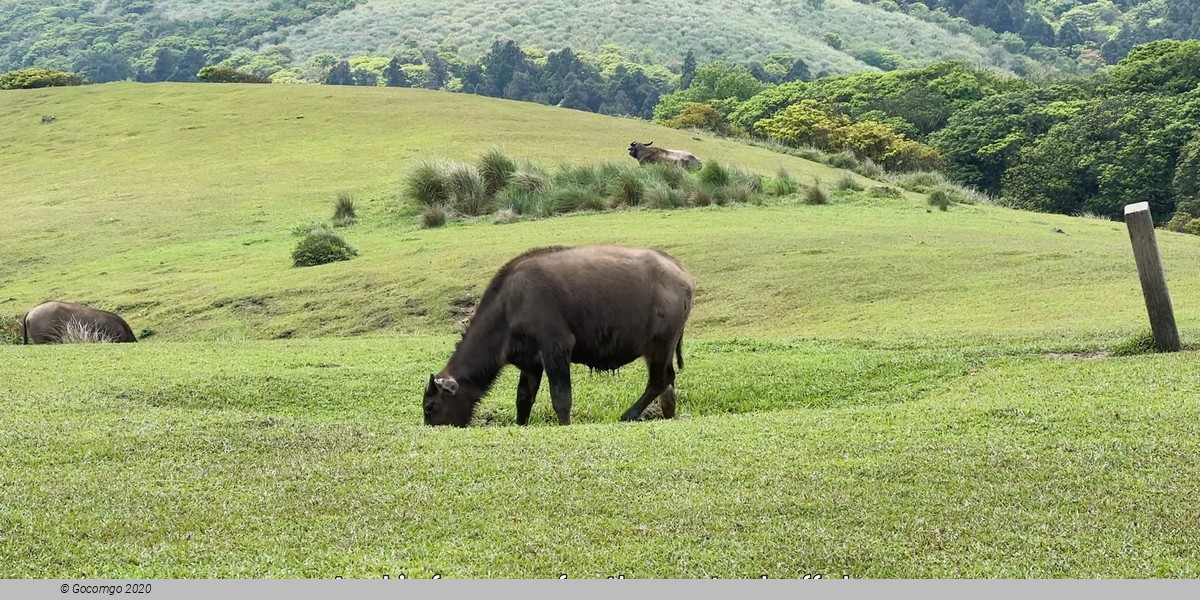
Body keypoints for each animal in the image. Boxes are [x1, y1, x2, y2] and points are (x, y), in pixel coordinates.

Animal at [427, 243, 700, 427]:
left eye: (430, 407)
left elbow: (561, 397)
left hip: (660, 345)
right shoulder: (531, 363)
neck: (509, 305)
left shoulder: (557, 347)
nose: (432, 427)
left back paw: (629, 414)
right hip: (657, 350)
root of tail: (681, 273)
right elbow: (523, 399)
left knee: (660, 380)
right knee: (667, 387)